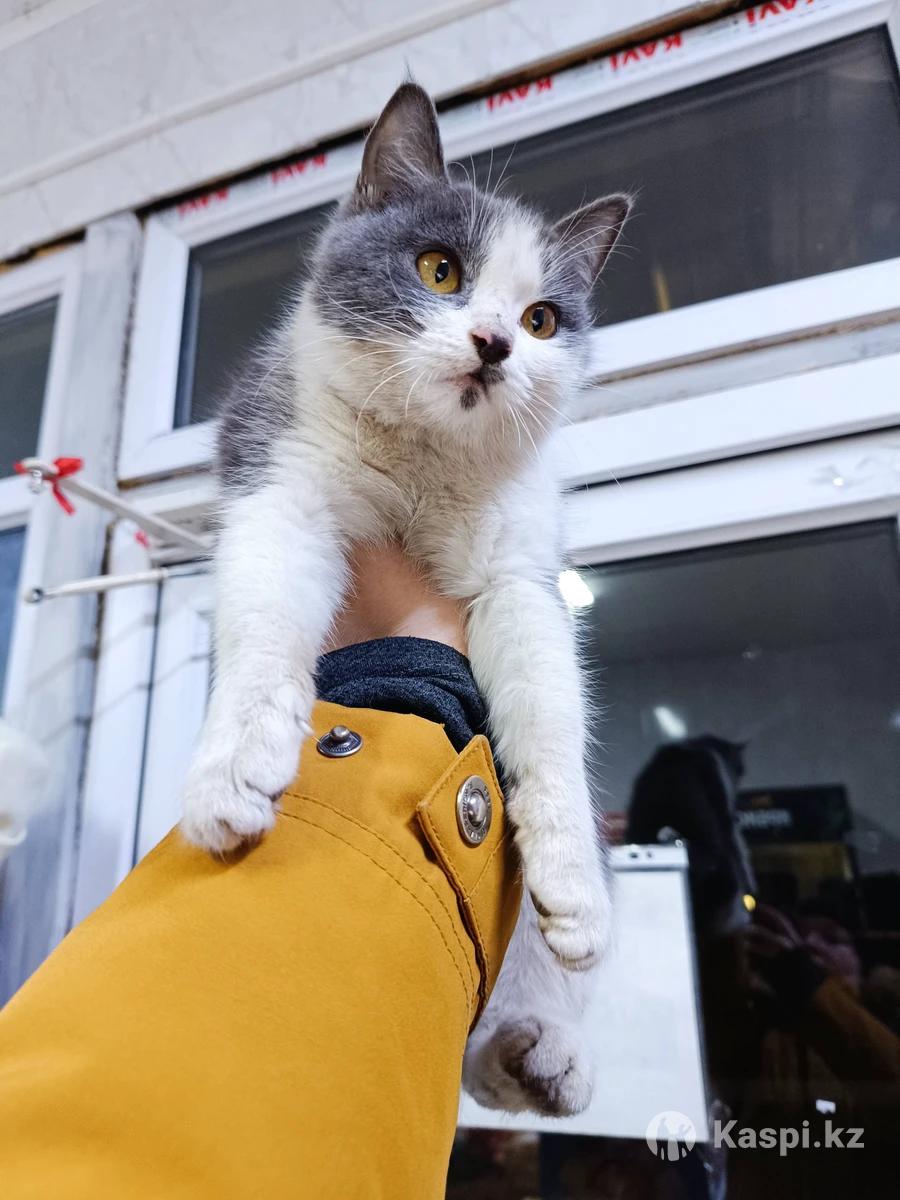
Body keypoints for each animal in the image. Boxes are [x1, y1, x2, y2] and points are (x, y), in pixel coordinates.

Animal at [180, 82, 630, 1116]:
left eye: (543, 320)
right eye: (439, 269)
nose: (495, 343)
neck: (423, 463)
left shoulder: (520, 567)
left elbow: (550, 705)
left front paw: (573, 881)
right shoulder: (279, 470)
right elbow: (265, 616)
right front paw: (234, 768)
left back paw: (541, 1050)